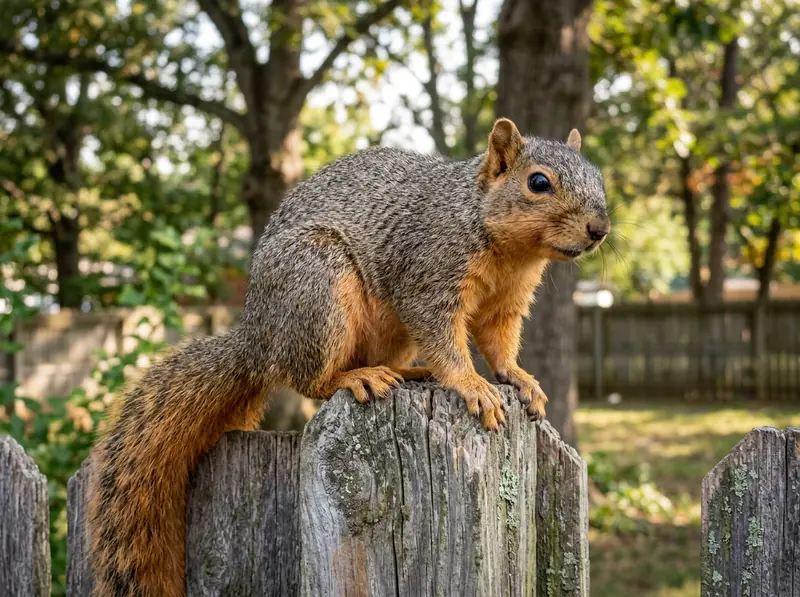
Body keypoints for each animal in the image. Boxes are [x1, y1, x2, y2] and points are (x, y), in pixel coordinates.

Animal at [88, 118, 609, 596]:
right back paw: (355, 378)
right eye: (538, 182)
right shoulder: (428, 277)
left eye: (598, 176)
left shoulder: (507, 303)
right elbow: (444, 339)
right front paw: (473, 386)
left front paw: (519, 378)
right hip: (319, 287)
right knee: (307, 378)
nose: (599, 229)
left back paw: (408, 370)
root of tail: (258, 337)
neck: (506, 247)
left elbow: (499, 344)